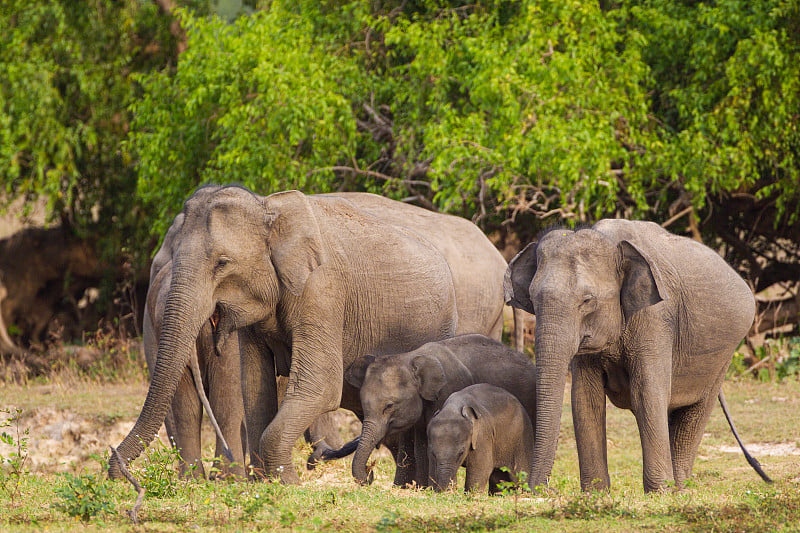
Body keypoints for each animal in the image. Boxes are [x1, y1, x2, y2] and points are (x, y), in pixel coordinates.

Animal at [110, 184, 506, 482]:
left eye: (222, 263)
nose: (117, 473)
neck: (268, 207)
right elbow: (254, 384)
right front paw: (267, 484)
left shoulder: (322, 291)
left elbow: (319, 383)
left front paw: (284, 482)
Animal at [340, 334, 536, 484]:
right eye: (363, 406)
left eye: (389, 406)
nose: (370, 472)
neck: (409, 357)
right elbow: (422, 446)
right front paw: (423, 488)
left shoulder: (448, 389)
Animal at [504, 219, 772, 490]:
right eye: (532, 298)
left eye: (587, 300)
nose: (536, 489)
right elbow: (584, 398)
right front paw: (595, 494)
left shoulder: (655, 317)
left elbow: (647, 392)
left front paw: (659, 492)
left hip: (724, 354)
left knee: (694, 413)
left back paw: (678, 489)